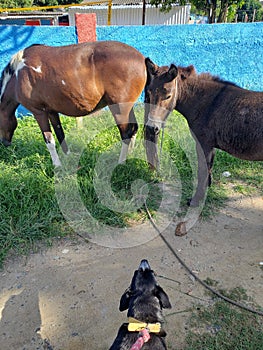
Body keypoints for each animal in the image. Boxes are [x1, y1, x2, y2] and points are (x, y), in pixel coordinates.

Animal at [0, 40, 147, 166]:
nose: (4, 143)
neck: (18, 74)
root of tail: (142, 58)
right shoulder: (51, 111)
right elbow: (60, 134)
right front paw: (67, 156)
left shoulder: (39, 112)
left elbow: (49, 140)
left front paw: (57, 165)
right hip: (127, 108)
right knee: (133, 128)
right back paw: (130, 154)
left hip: (119, 109)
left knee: (126, 134)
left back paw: (121, 162)